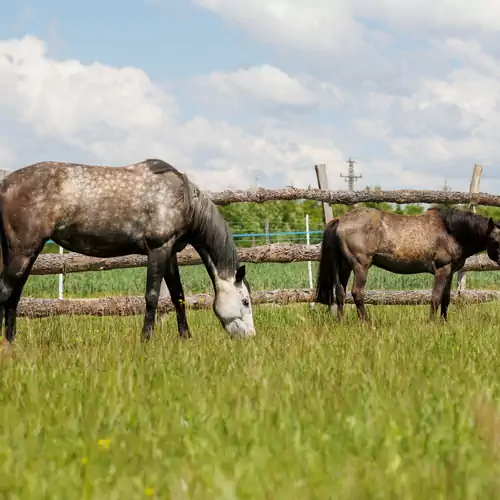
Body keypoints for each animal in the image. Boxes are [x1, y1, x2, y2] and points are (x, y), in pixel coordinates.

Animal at [0, 160, 256, 344]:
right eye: (245, 301)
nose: (251, 337)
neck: (182, 199)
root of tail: (5, 184)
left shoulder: (170, 252)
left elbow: (177, 295)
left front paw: (186, 338)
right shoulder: (158, 250)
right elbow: (152, 296)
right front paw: (145, 340)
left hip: (24, 253)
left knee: (14, 296)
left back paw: (11, 342)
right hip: (23, 252)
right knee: (6, 291)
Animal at [314, 206, 500, 320]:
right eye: (494, 239)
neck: (451, 232)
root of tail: (340, 220)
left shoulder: (450, 272)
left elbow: (446, 299)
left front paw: (444, 323)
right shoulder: (442, 270)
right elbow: (435, 298)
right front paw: (432, 323)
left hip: (344, 266)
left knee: (340, 292)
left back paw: (342, 321)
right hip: (361, 265)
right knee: (357, 293)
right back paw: (367, 323)